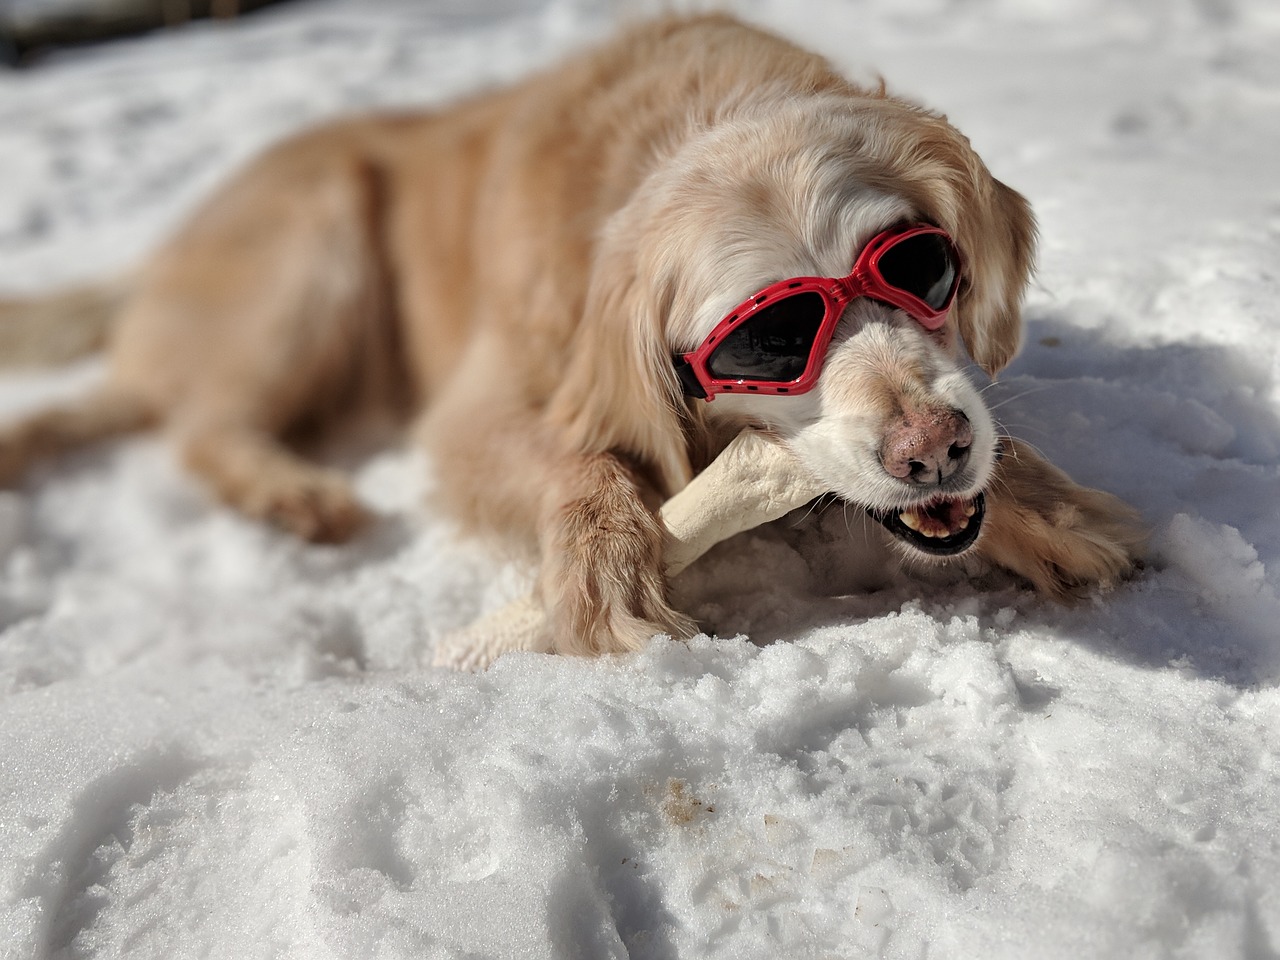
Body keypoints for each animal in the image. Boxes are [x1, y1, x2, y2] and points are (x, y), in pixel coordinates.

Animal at [0, 16, 1141, 660]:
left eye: (919, 269)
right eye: (773, 342)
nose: (930, 450)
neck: (687, 115)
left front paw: (1048, 507)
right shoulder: (473, 411)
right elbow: (580, 458)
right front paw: (601, 568)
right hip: (314, 240)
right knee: (192, 422)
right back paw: (295, 492)